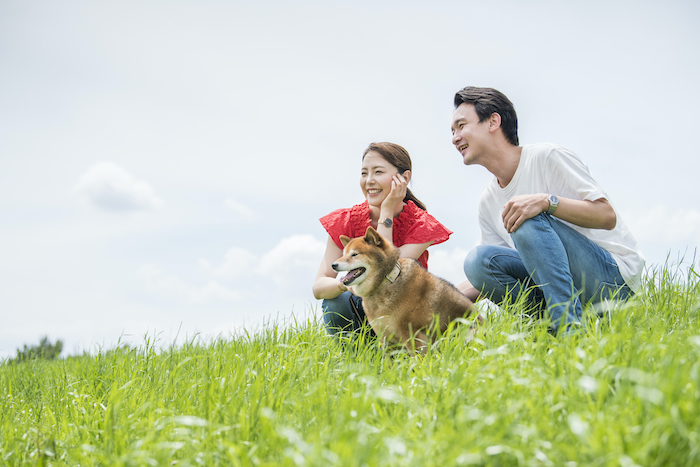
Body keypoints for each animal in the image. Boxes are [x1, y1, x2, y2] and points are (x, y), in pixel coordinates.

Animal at [332, 227, 476, 354]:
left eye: (354, 254)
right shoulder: (386, 340)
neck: (385, 283)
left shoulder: (413, 336)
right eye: (343, 255)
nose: (333, 264)